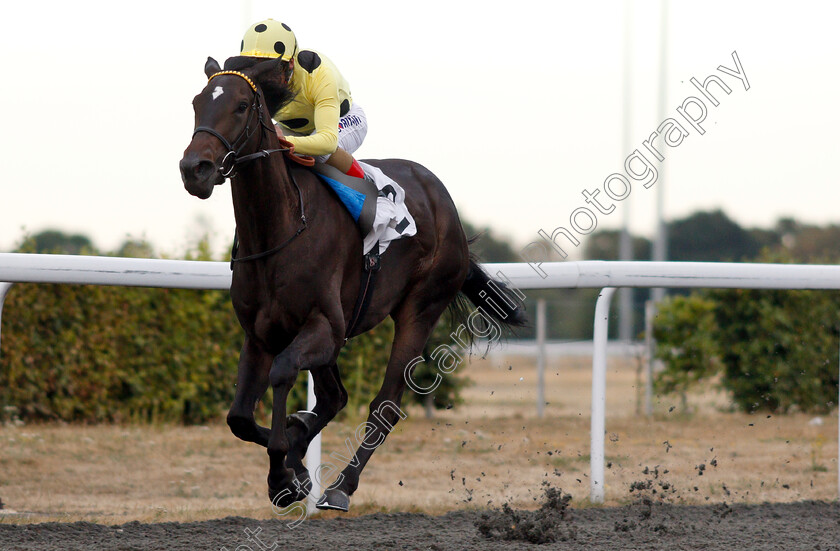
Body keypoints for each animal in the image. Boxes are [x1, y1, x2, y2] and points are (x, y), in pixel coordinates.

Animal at [179, 56, 524, 512]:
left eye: (240, 106)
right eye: (197, 103)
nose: (194, 169)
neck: (279, 228)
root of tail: (445, 203)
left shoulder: (325, 326)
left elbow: (283, 373)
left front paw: (283, 473)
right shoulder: (259, 335)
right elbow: (239, 417)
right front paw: (294, 463)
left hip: (421, 307)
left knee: (386, 404)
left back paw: (342, 484)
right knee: (334, 397)